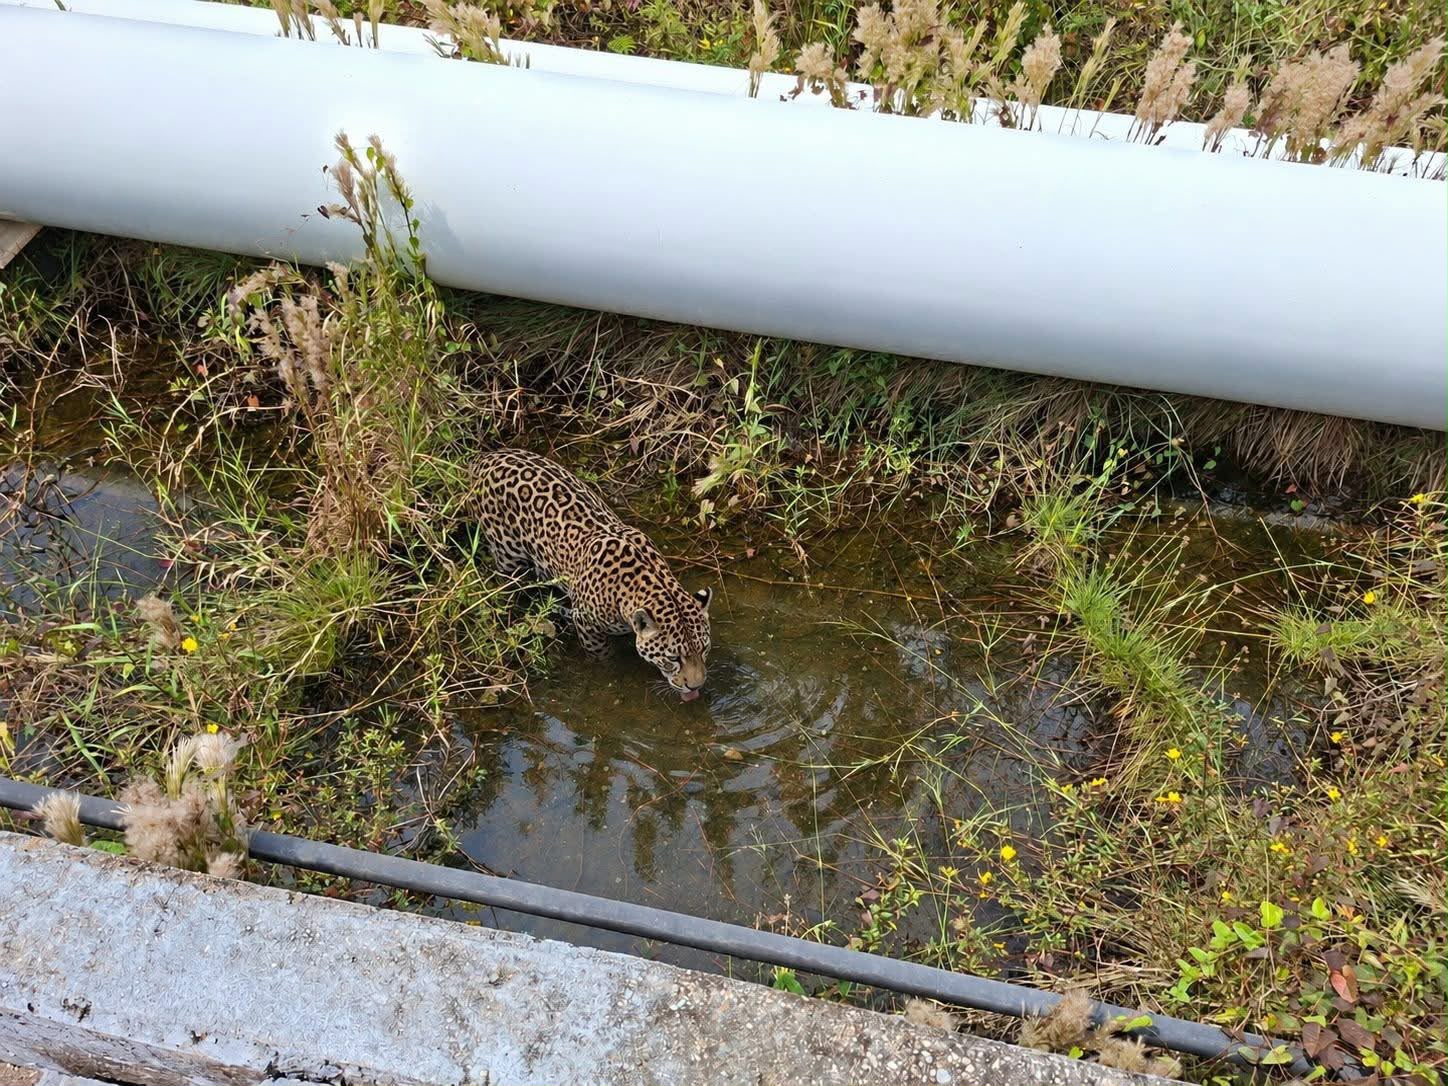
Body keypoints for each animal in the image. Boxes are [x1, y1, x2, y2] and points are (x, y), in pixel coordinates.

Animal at [474, 448, 713, 700]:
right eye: (673, 658)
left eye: (704, 648)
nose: (695, 686)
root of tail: (486, 457)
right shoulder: (586, 623)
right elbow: (602, 655)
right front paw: (609, 671)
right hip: (508, 557)